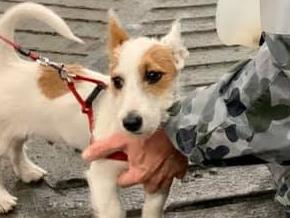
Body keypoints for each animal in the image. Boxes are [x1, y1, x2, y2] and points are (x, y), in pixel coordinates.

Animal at [0, 2, 188, 218]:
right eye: (117, 81)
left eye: (153, 75)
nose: (130, 123)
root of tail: (9, 64)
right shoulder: (102, 177)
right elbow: (114, 212)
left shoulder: (158, 180)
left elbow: (152, 210)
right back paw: (3, 199)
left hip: (17, 129)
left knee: (16, 148)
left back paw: (27, 171)